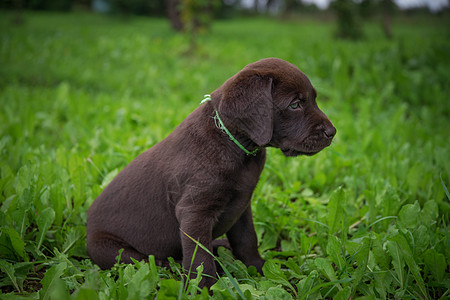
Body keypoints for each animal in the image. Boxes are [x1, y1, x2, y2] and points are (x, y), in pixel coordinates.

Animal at [86, 57, 336, 288]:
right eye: (295, 105)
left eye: (313, 99)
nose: (332, 132)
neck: (234, 144)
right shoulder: (195, 212)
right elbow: (200, 260)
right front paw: (205, 289)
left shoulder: (242, 205)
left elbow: (247, 240)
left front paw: (258, 268)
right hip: (112, 250)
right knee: (151, 261)